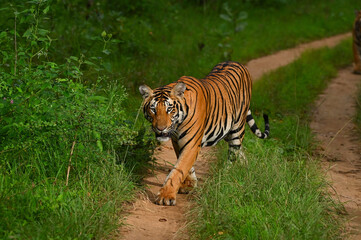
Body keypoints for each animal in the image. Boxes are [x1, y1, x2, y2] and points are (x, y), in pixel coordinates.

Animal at [139, 61, 268, 205]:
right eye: (153, 109)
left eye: (169, 109)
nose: (160, 128)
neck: (178, 123)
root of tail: (237, 63)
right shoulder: (177, 141)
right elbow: (185, 165)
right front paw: (189, 184)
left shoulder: (191, 143)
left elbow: (179, 168)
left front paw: (166, 196)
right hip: (226, 131)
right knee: (240, 149)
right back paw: (246, 167)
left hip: (237, 128)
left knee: (233, 153)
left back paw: (225, 176)